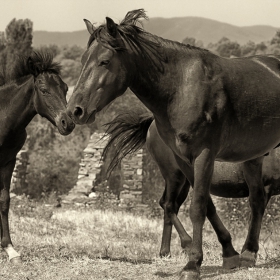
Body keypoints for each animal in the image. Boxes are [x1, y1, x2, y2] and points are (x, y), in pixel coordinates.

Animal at [0, 51, 74, 264]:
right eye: (43, 90)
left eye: (65, 88)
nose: (67, 123)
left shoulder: (8, 161)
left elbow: (4, 200)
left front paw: (10, 250)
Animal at [103, 110, 280, 262]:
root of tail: (153, 122)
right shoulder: (262, 184)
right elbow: (256, 212)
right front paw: (249, 251)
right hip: (174, 176)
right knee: (168, 204)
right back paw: (186, 243)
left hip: (185, 182)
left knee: (169, 204)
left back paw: (165, 251)